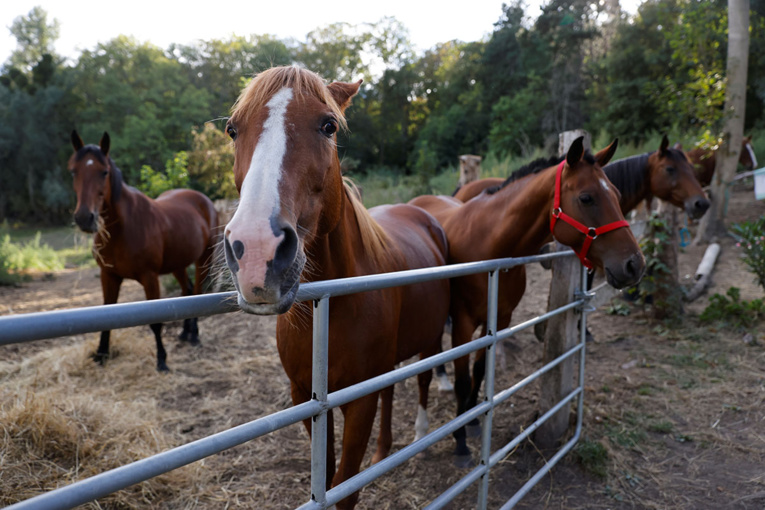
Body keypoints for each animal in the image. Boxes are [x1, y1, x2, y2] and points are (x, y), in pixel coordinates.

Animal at [69, 131, 219, 372]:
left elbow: (155, 322)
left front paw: (162, 360)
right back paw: (185, 333)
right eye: (74, 171)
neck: (122, 228)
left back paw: (194, 335)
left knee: (196, 292)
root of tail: (204, 200)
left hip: (204, 259)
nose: (85, 217)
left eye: (104, 172)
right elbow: (105, 313)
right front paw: (101, 354)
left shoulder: (150, 278)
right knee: (186, 291)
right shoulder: (108, 276)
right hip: (177, 264)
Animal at [222, 66, 450, 509]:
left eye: (328, 125)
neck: (330, 309)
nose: (255, 250)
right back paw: (384, 450)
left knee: (423, 380)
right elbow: (325, 478)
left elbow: (344, 488)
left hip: (430, 338)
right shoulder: (306, 397)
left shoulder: (358, 402)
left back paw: (421, 434)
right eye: (232, 130)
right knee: (391, 389)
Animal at [409, 137, 645, 465]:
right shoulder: (464, 323)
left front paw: (472, 419)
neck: (489, 244)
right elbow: (464, 379)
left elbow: (479, 372)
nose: (635, 265)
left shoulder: (498, 320)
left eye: (618, 194)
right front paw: (460, 441)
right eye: (586, 198)